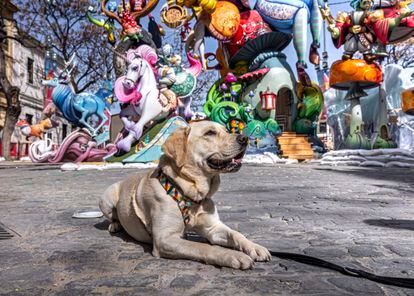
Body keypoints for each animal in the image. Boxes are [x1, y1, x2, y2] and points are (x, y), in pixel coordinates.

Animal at [98, 119, 270, 268]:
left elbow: (236, 234)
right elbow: (203, 247)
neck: (191, 193)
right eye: (210, 133)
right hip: (106, 197)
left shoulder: (213, 228)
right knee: (112, 216)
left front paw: (254, 247)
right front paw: (233, 255)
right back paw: (115, 225)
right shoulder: (164, 239)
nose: (244, 138)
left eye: (226, 130)